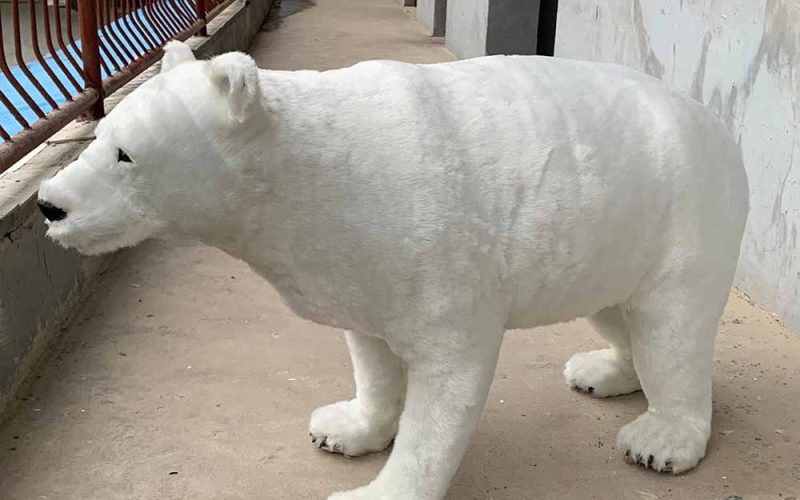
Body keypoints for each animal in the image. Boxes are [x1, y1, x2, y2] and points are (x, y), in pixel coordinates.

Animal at [37, 40, 749, 499]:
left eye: (126, 154)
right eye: (101, 136)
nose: (50, 203)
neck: (307, 173)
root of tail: (717, 125)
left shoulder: (437, 249)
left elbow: (448, 383)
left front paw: (375, 492)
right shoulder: (357, 255)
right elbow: (369, 348)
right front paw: (346, 428)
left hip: (685, 211)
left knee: (672, 329)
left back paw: (662, 439)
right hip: (616, 222)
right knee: (616, 309)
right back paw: (602, 371)